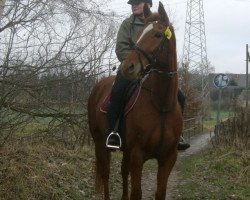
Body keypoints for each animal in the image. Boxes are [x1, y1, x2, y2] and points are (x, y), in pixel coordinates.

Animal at [88, 1, 182, 200]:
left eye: (157, 35)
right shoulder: (138, 155)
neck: (161, 105)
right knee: (106, 174)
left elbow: (160, 192)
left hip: (126, 150)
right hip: (100, 143)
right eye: (138, 37)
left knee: (123, 171)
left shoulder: (168, 158)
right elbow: (136, 192)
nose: (128, 67)